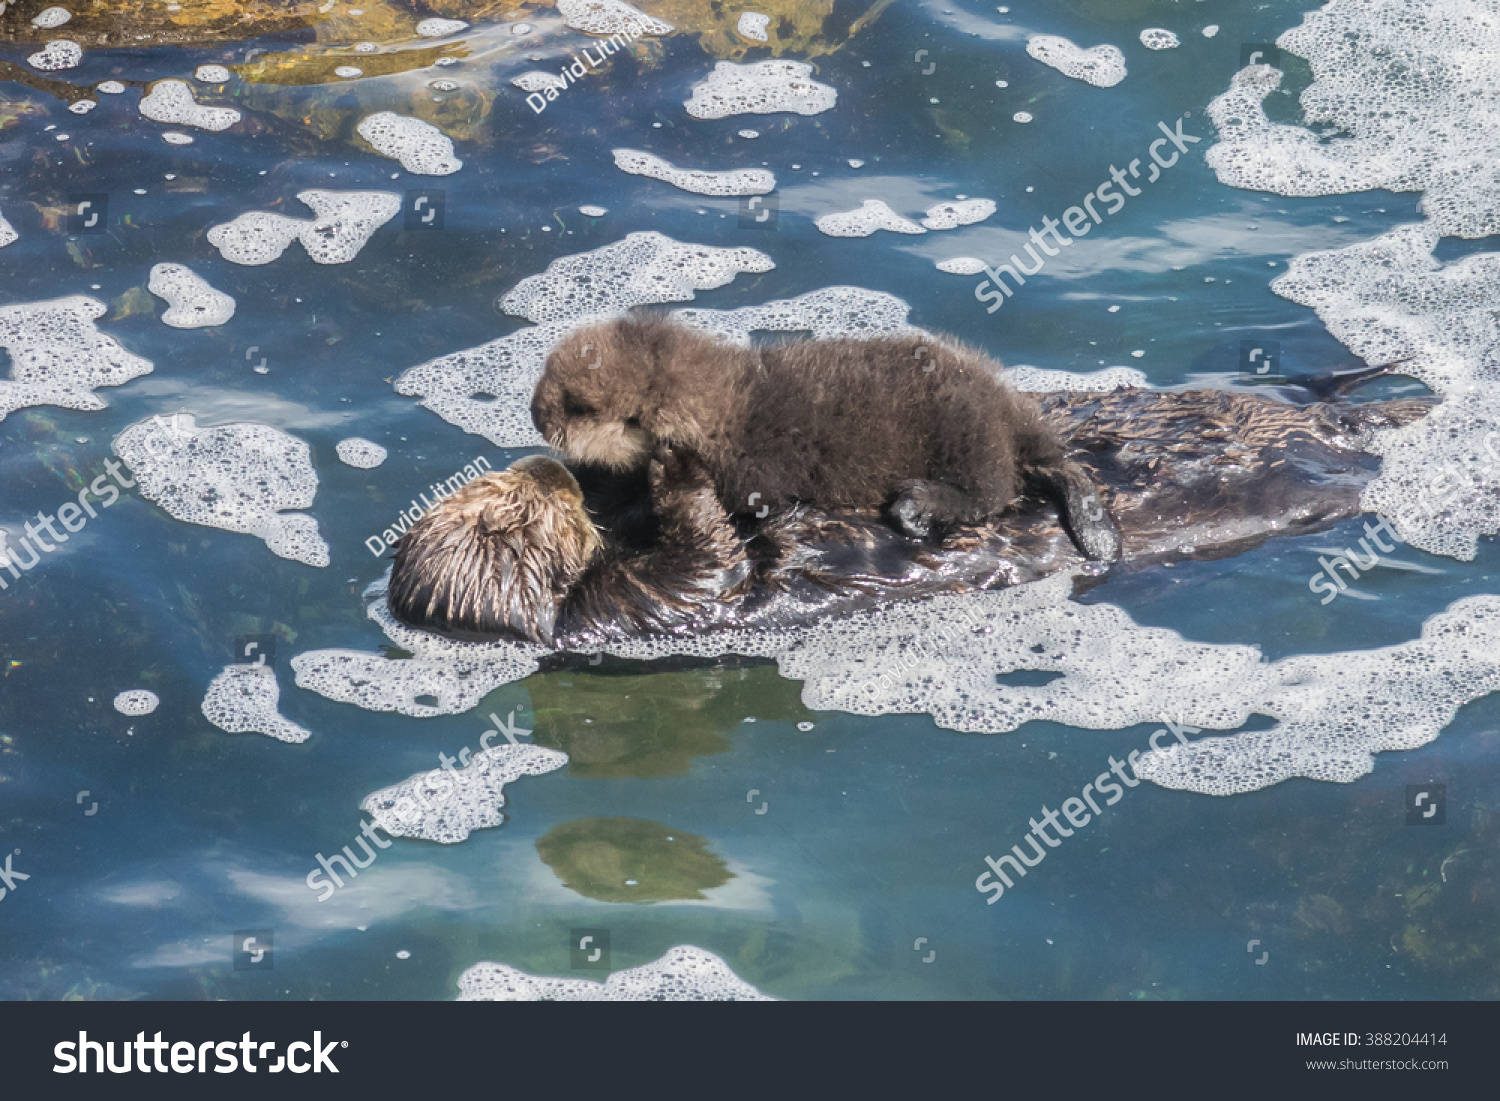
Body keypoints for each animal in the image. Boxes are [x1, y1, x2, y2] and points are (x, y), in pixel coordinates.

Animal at [534, 316, 1122, 561]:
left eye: (578, 407)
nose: (537, 414)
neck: (721, 406)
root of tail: (1012, 417)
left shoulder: (746, 472)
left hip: (968, 444)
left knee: (992, 492)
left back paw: (917, 506)